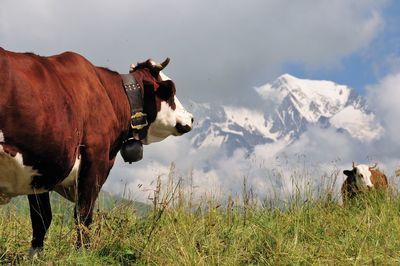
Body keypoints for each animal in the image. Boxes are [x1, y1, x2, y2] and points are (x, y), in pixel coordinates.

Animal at [0, 47, 194, 256]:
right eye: (171, 91)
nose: (191, 118)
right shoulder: (95, 158)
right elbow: (83, 214)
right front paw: (82, 253)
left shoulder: (41, 166)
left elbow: (41, 218)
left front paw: (35, 256)